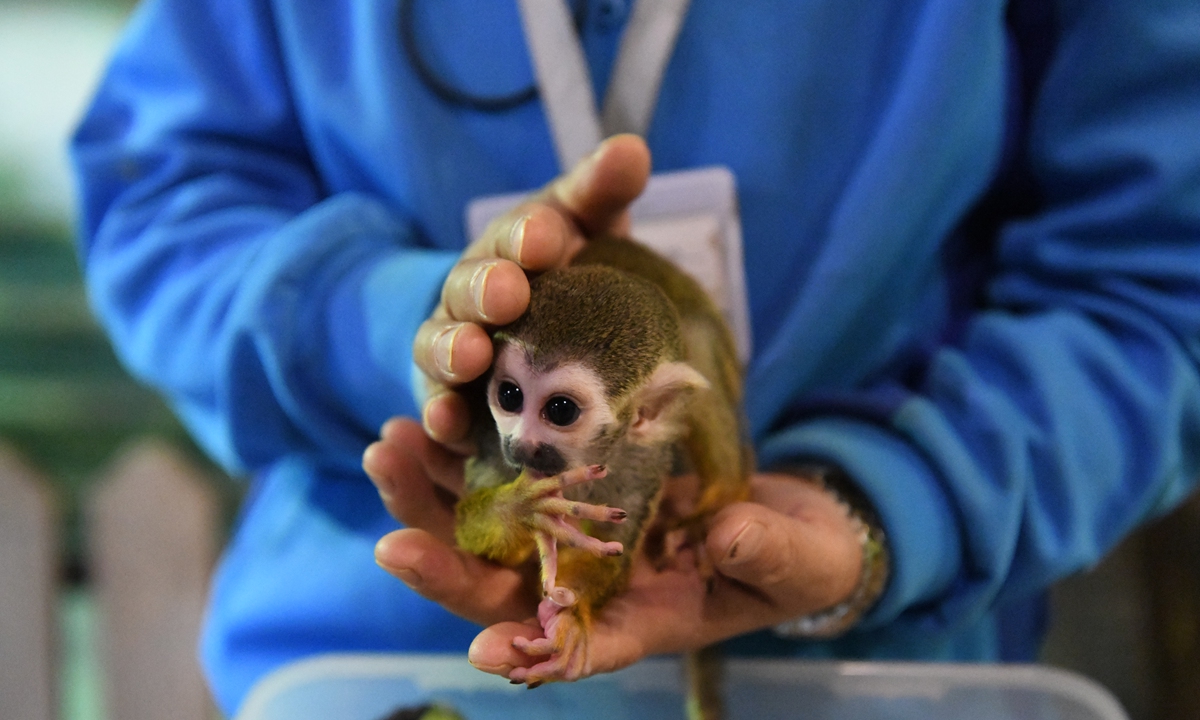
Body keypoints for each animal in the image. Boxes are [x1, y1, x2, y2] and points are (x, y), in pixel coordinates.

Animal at [453, 235, 751, 719]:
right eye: (509, 396)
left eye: (560, 410)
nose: (520, 446)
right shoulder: (490, 438)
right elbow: (468, 529)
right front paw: (519, 510)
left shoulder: (640, 461)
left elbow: (614, 555)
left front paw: (569, 620)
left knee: (699, 340)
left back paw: (722, 494)